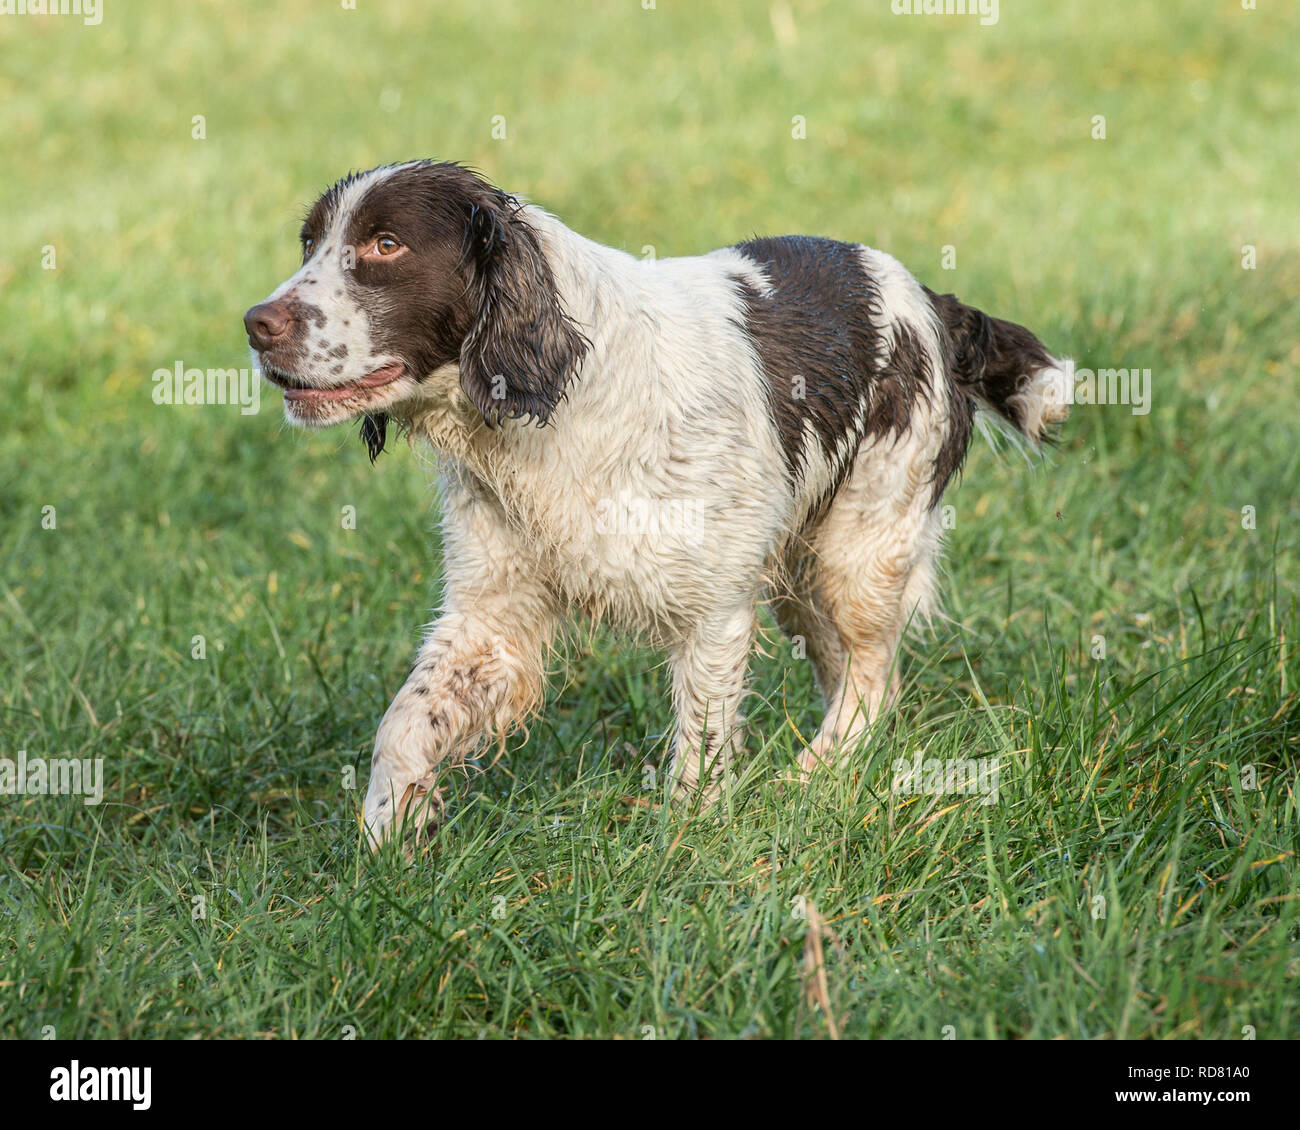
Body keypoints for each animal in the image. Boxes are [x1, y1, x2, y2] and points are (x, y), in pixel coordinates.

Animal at [241, 158, 1066, 847]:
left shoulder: (715, 611)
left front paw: (689, 842)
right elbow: (406, 723)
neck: (558, 406)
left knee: (869, 671)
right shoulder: (491, 615)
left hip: (859, 548)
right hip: (801, 574)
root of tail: (930, 299)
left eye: (385, 244)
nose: (255, 324)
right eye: (309, 243)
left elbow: (699, 750)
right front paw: (387, 846)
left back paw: (814, 775)